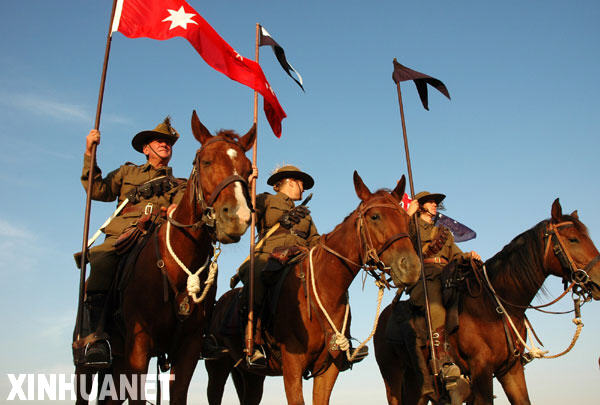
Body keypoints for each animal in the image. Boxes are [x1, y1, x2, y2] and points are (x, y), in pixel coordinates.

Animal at [75, 109, 255, 402]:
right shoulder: (139, 345)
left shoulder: (189, 348)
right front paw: (92, 142)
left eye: (249, 169)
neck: (177, 266)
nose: (237, 217)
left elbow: (178, 394)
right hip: (87, 364)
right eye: (206, 161)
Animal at [204, 173, 420, 404]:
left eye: (405, 218)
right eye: (375, 217)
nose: (411, 268)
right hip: (216, 366)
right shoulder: (292, 367)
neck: (325, 291)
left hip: (250, 374)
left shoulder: (329, 369)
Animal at [372, 199, 600, 404]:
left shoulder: (511, 370)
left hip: (417, 384)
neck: (494, 306)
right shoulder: (481, 369)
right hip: (393, 380)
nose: (598, 280)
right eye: (573, 239)